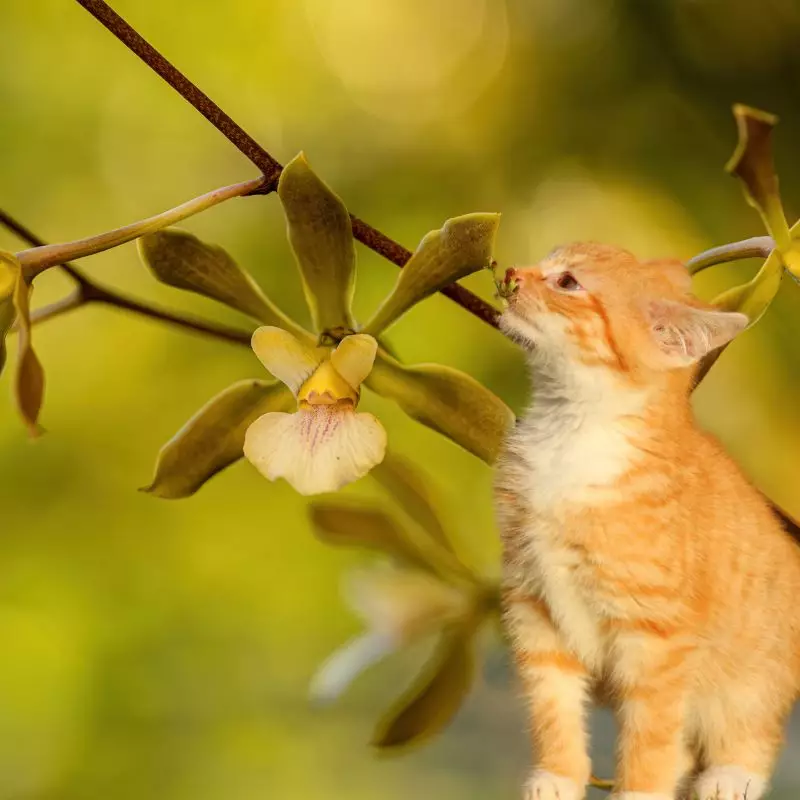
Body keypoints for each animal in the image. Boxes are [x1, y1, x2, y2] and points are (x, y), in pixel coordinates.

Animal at [496, 244, 796, 800]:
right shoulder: (532, 603)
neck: (571, 434)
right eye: (545, 260)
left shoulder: (657, 635)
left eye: (567, 282)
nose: (510, 272)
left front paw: (639, 790)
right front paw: (559, 774)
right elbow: (552, 703)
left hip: (753, 671)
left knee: (751, 723)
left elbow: (651, 730)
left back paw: (732, 773)